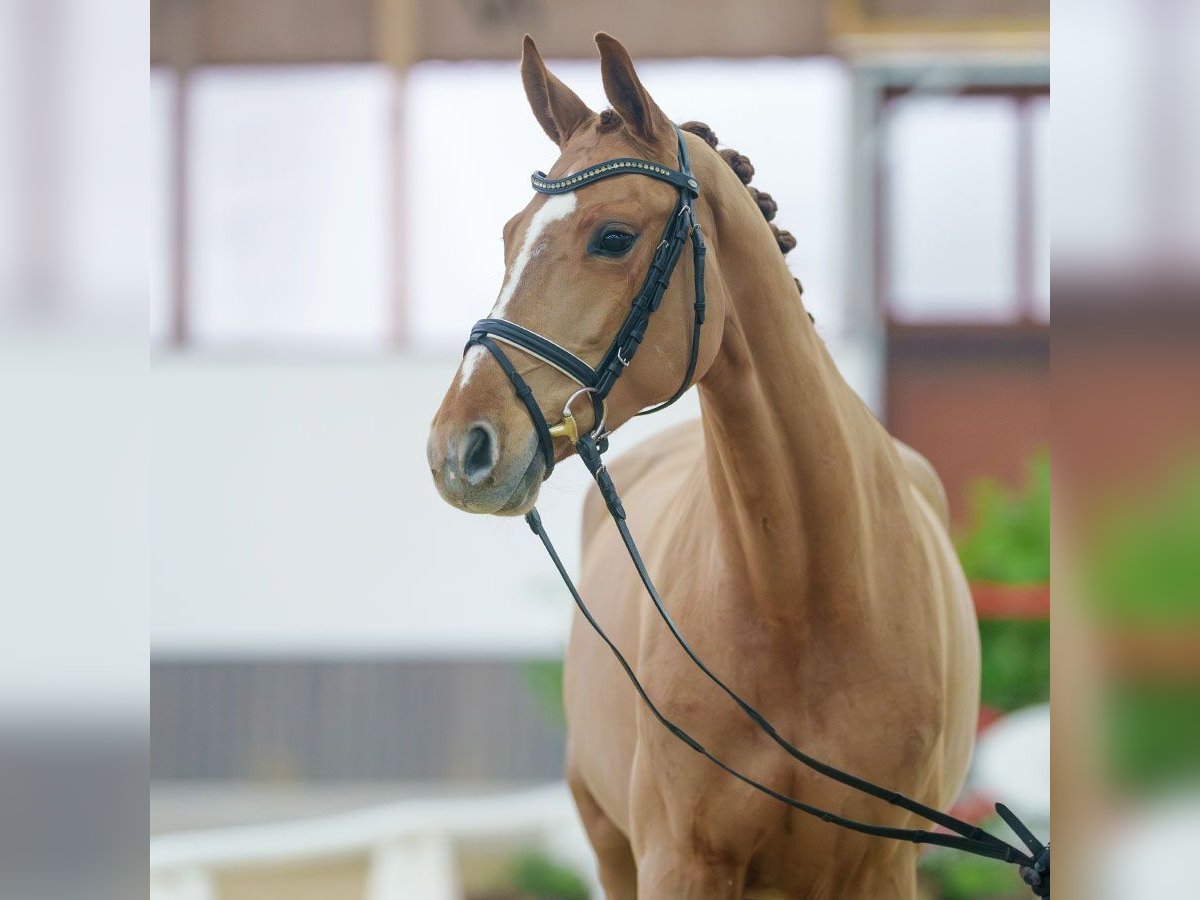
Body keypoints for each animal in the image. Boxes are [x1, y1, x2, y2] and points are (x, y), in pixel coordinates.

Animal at [427, 35, 979, 900]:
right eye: (511, 234)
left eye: (613, 237)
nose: (460, 448)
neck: (804, 598)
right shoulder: (677, 860)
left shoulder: (884, 867)